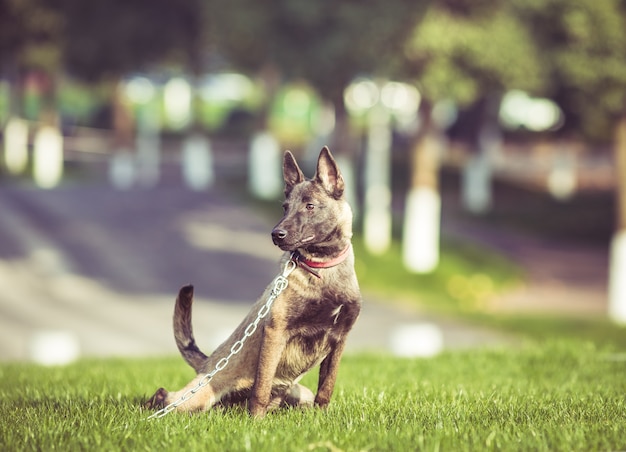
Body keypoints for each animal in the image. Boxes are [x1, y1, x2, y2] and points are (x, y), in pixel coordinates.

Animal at [146, 147, 360, 416]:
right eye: (285, 207)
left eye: (310, 206)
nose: (276, 234)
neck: (321, 268)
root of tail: (208, 363)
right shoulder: (275, 332)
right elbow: (262, 386)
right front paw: (256, 420)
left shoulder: (339, 339)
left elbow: (326, 386)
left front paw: (320, 416)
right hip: (195, 398)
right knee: (166, 396)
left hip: (300, 395)